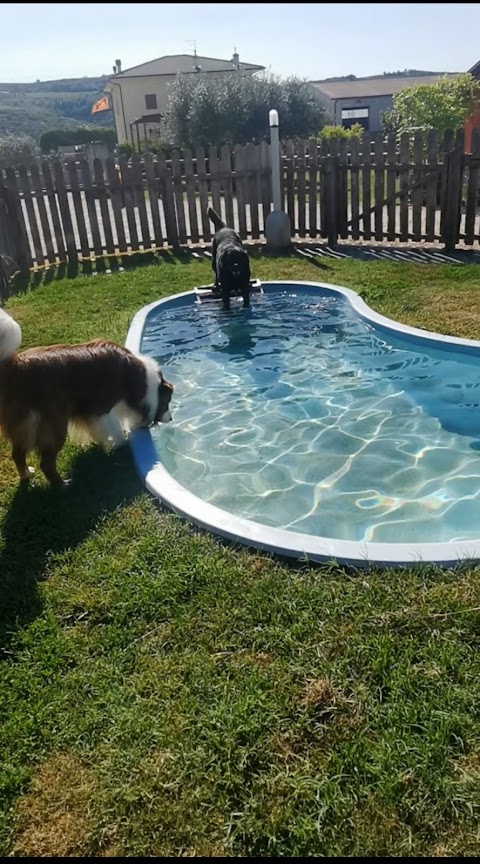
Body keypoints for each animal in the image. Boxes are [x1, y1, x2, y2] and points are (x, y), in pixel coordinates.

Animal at [0, 308, 174, 486]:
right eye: (167, 401)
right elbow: (114, 428)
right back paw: (63, 484)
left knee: (17, 454)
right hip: (53, 425)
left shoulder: (88, 412)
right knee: (46, 463)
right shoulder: (102, 408)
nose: (171, 419)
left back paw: (27, 474)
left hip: (24, 426)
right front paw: (123, 442)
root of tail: (14, 365)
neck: (136, 376)